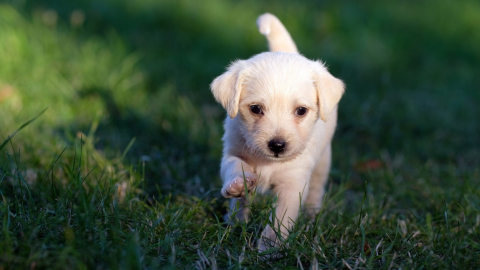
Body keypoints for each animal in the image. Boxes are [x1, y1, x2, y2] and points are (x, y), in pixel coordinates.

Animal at [210, 13, 344, 251]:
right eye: (255, 109)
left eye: (301, 111)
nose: (278, 145)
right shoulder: (232, 151)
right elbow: (235, 166)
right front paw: (238, 184)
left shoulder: (293, 184)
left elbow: (280, 220)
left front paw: (269, 248)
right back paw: (234, 221)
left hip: (323, 161)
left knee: (317, 187)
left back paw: (312, 214)